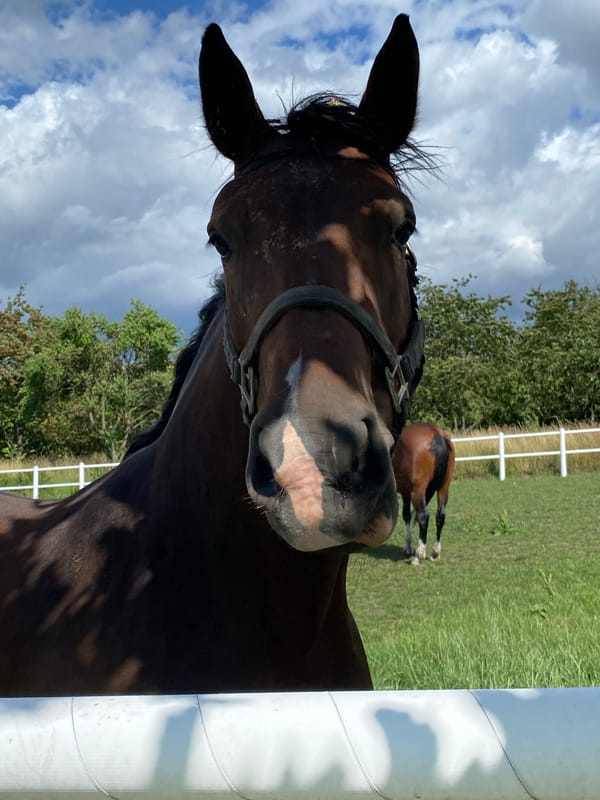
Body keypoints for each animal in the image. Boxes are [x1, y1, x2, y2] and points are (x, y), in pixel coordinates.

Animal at [392, 423, 455, 564]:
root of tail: (437, 434)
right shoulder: (405, 492)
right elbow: (406, 515)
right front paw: (408, 547)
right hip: (443, 488)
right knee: (440, 516)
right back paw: (435, 552)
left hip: (418, 492)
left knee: (423, 516)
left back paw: (418, 555)